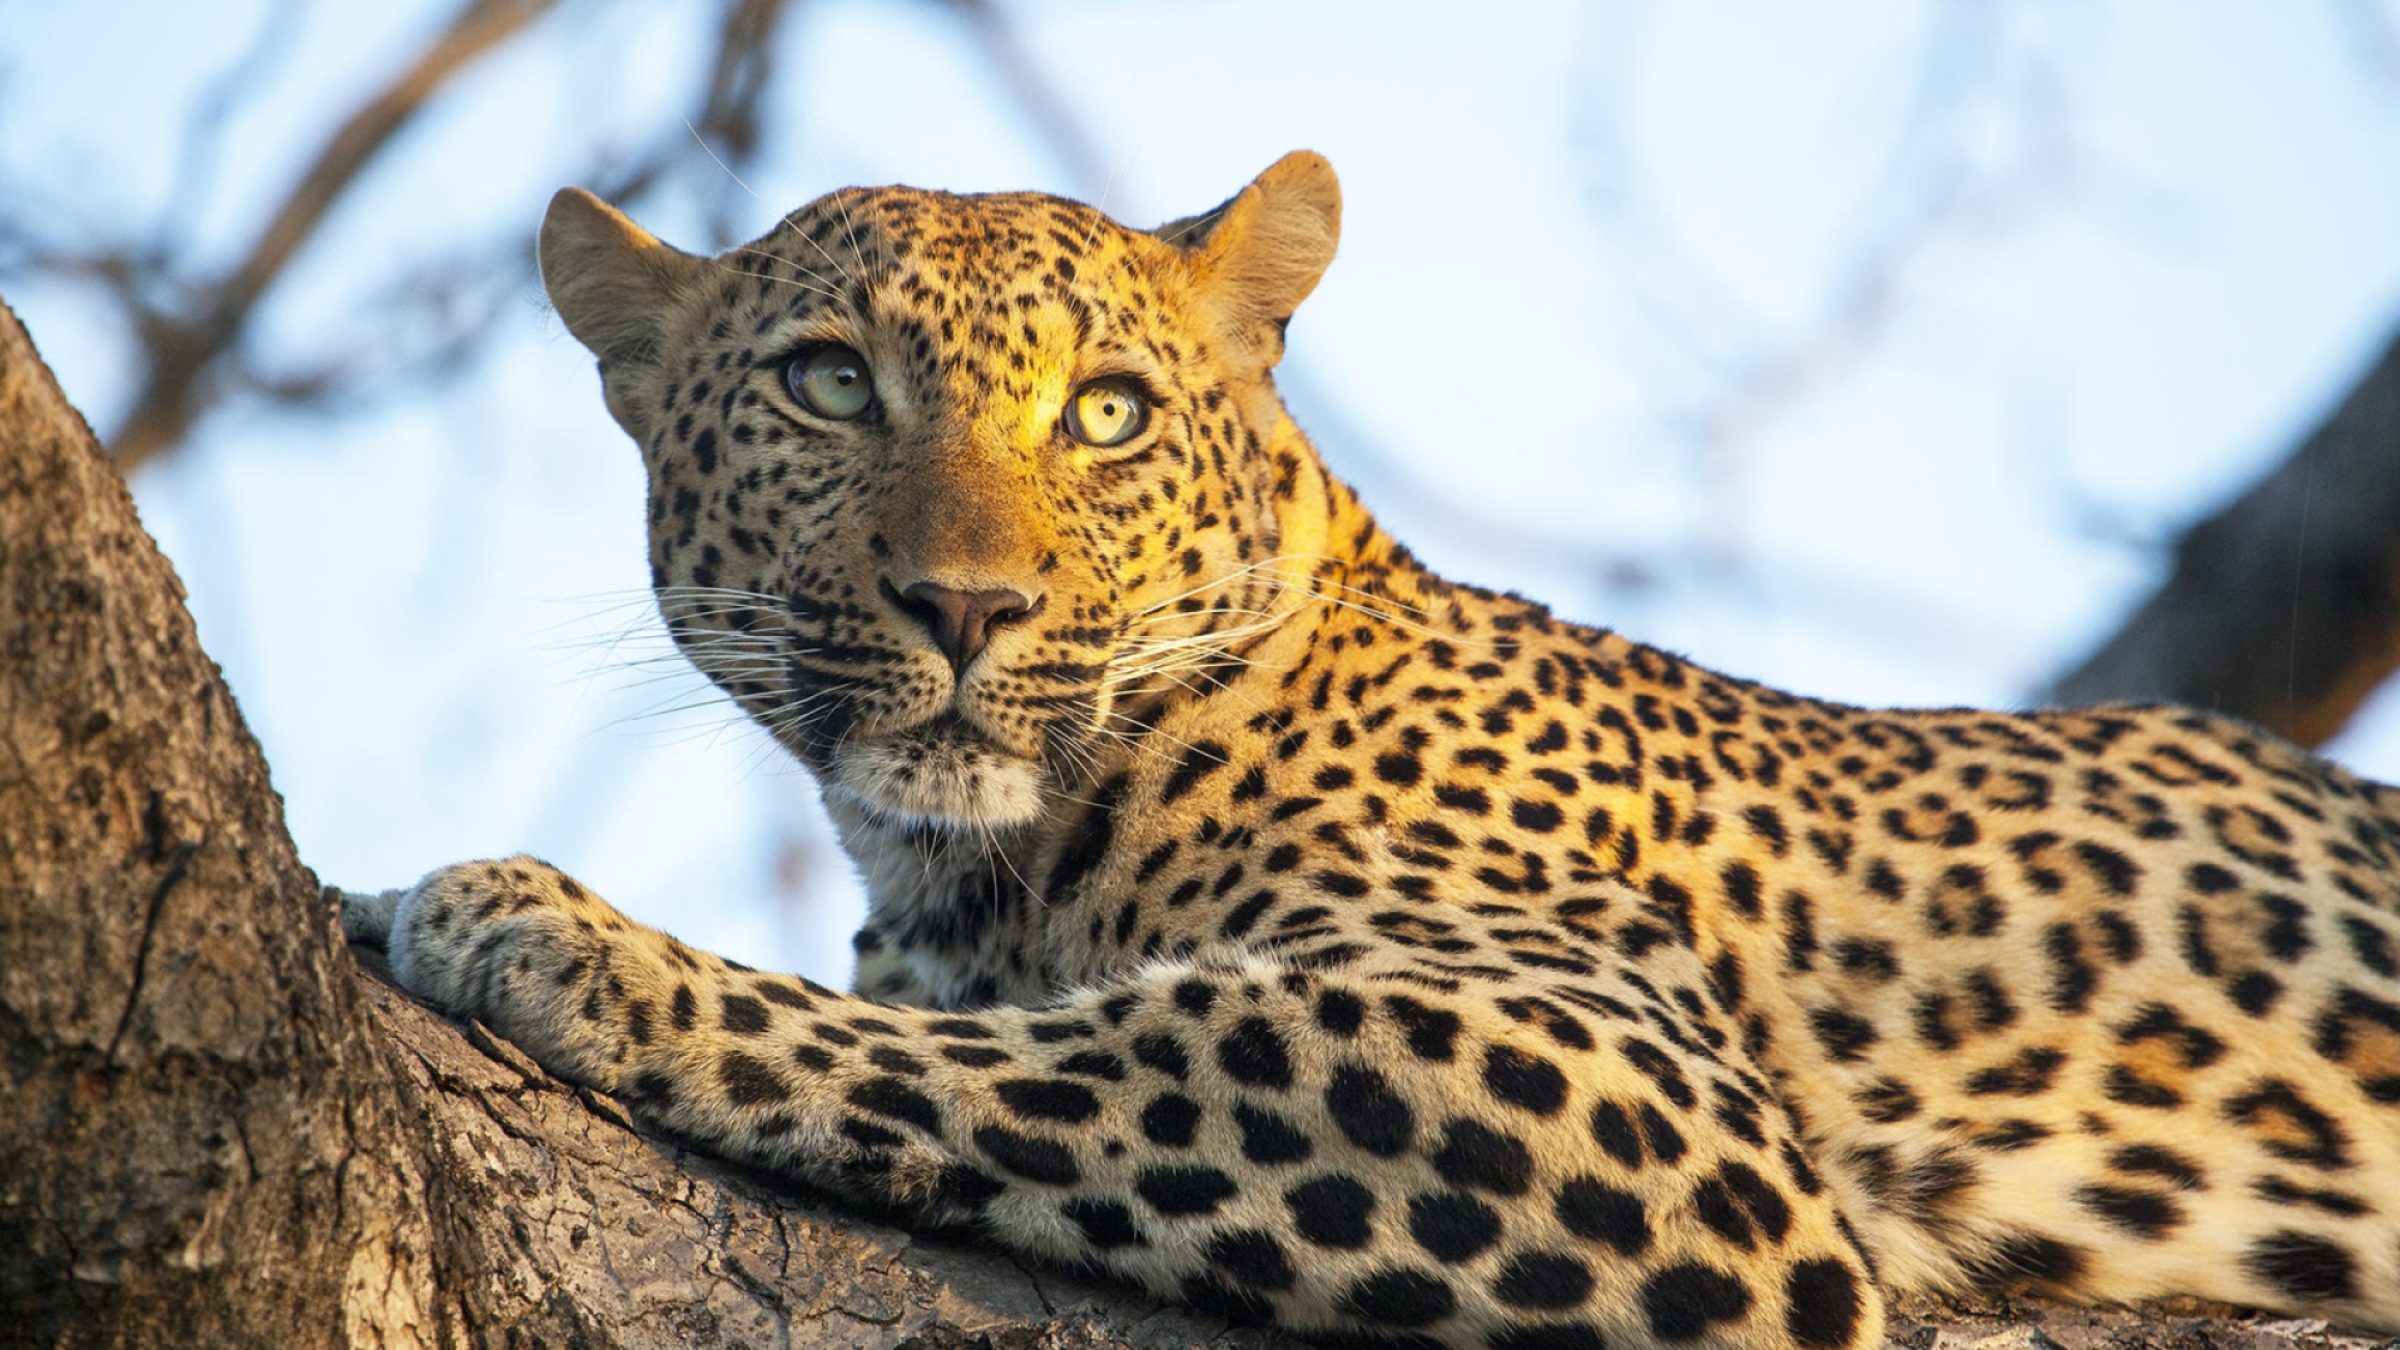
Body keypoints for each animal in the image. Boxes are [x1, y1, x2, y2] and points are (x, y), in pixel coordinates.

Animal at [339, 151, 2400, 1349]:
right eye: (829, 384)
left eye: (1107, 414)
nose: (965, 607)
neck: (964, 872)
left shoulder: (1636, 1084)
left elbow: (1067, 1048)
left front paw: (559, 933)